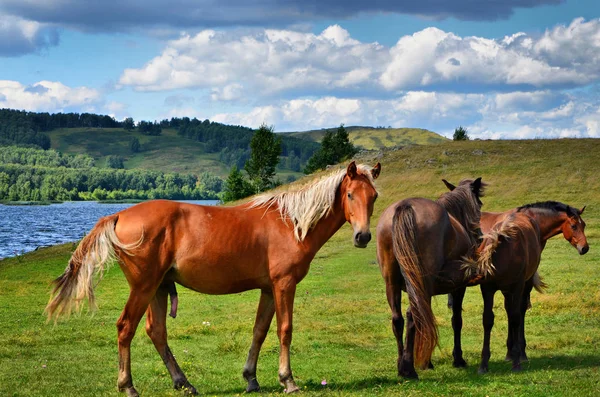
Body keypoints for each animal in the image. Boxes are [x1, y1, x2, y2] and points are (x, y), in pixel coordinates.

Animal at [49, 161, 382, 396]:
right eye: (350, 195)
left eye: (374, 196)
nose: (363, 236)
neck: (292, 223)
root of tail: (118, 215)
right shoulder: (284, 285)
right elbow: (284, 330)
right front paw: (288, 380)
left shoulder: (268, 289)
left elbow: (259, 331)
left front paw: (251, 378)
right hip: (143, 287)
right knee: (125, 328)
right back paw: (128, 386)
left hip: (157, 288)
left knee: (156, 332)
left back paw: (183, 383)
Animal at [378, 176, 486, 378]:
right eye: (479, 204)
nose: (481, 237)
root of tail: (405, 206)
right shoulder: (458, 287)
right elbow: (456, 320)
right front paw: (457, 359)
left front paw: (426, 361)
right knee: (413, 315)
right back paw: (408, 368)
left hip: (393, 283)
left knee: (398, 318)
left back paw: (401, 365)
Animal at [448, 201, 588, 372]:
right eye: (574, 226)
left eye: (584, 225)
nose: (584, 248)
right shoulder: (503, 287)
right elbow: (505, 315)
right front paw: (515, 354)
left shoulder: (515, 285)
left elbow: (513, 314)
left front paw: (513, 355)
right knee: (457, 319)